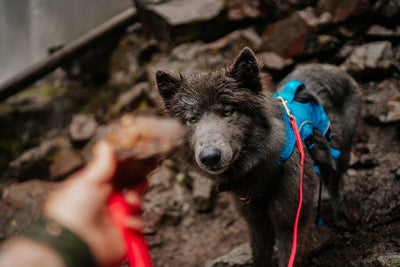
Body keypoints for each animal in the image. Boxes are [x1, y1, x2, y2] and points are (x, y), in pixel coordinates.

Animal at [155, 47, 360, 266]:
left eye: (227, 112)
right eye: (192, 119)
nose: (209, 157)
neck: (260, 172)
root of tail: (329, 67)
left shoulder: (290, 220)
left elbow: (289, 256)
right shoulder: (256, 221)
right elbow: (260, 254)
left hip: (341, 156)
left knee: (335, 183)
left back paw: (342, 216)